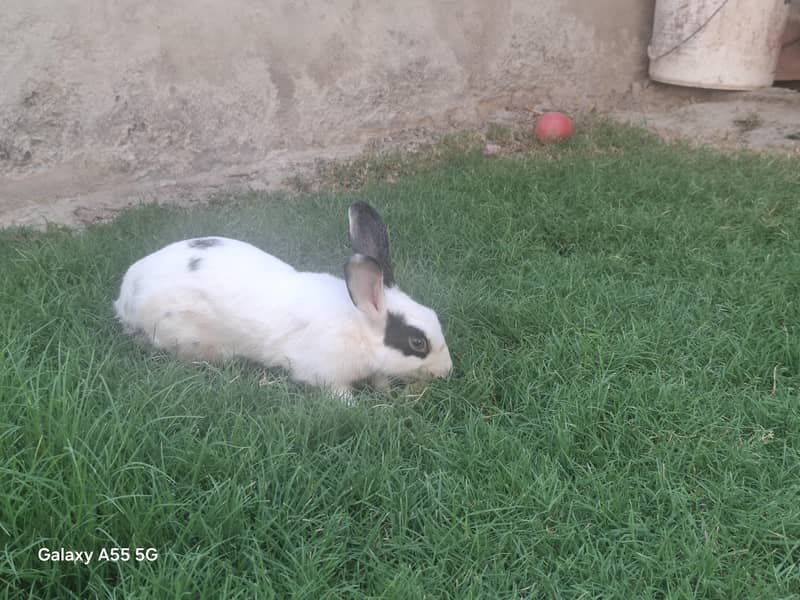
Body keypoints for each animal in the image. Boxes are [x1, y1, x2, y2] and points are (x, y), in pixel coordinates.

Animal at [113, 201, 453, 400]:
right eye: (417, 343)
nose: (447, 370)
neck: (358, 324)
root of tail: (126, 294)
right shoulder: (323, 373)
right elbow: (338, 392)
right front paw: (356, 405)